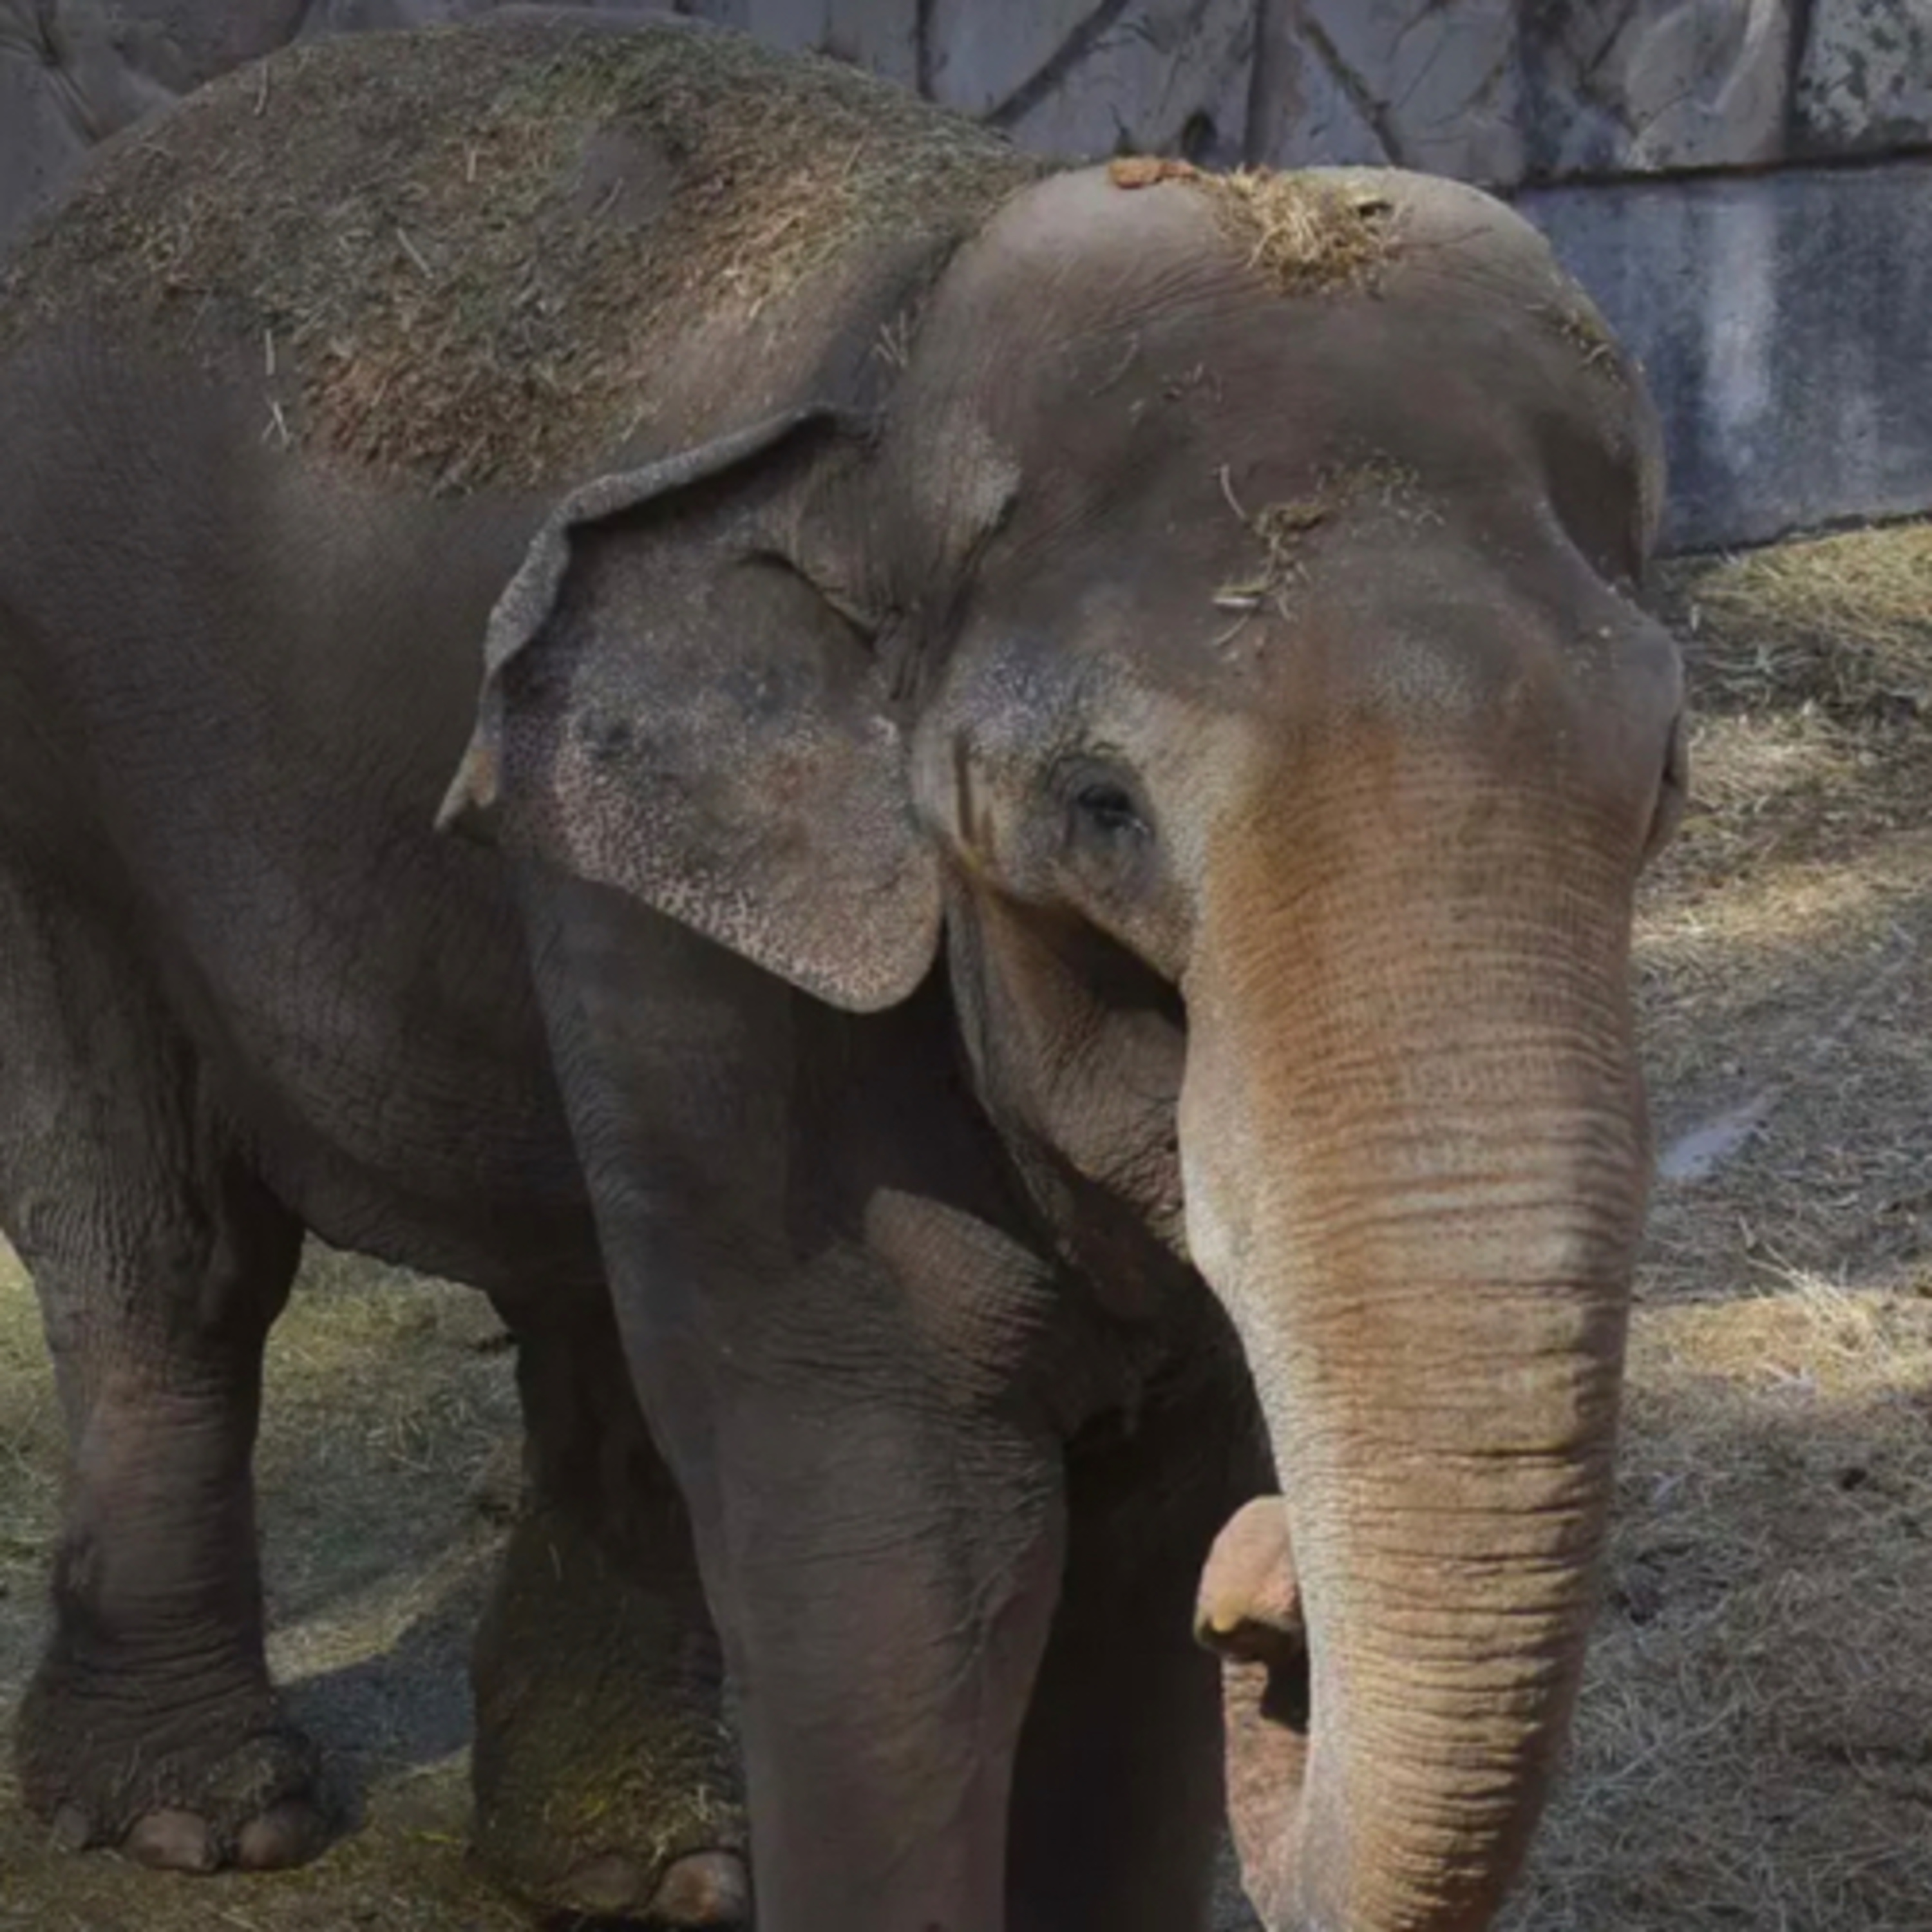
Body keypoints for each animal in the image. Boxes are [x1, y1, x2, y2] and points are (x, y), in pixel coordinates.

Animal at [0, 12, 1686, 1931]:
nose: (1269, 1619)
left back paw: (649, 1866)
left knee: (592, 1321)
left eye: (1664, 781)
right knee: (166, 1245)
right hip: (59, 779)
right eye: (1100, 808)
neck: (901, 358)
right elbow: (909, 1534)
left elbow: (1143, 1520)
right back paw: (198, 1825)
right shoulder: (723, 953)